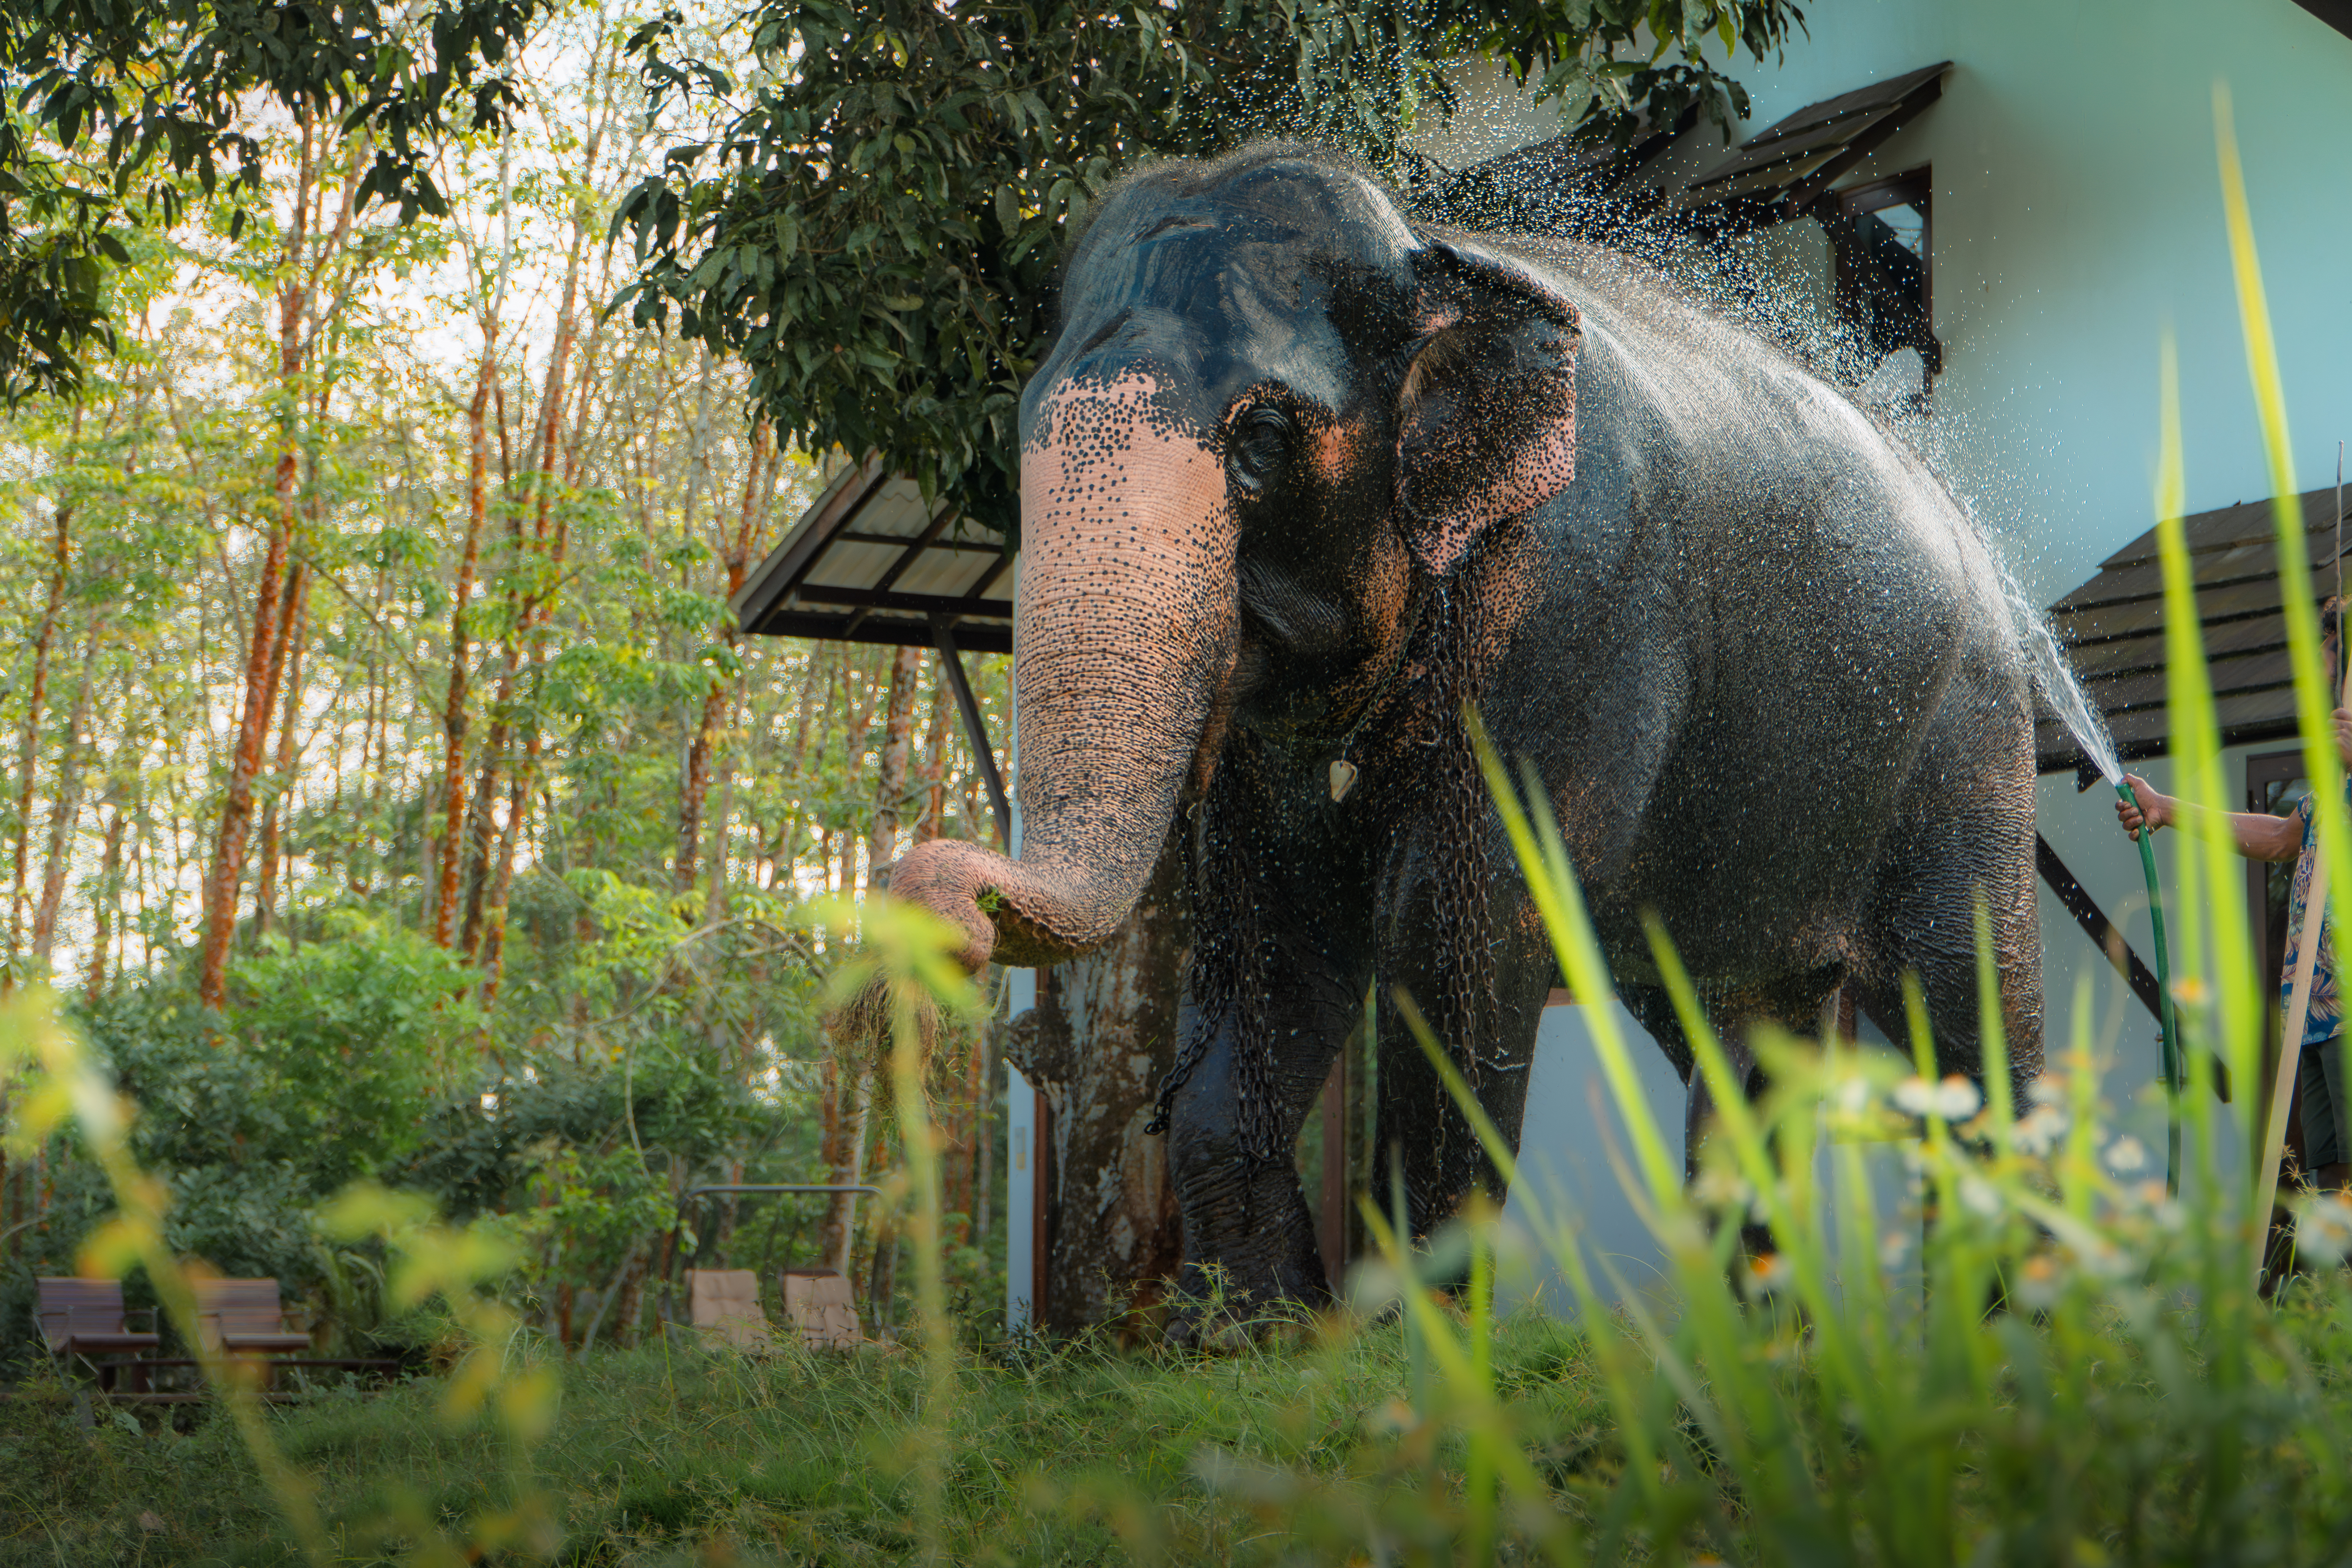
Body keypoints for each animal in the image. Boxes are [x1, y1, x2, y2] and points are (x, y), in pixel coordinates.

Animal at [888, 142, 2044, 1315]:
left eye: (1261, 437)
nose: (936, 897)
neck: (1431, 259)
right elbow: (1276, 940)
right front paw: (1255, 1333)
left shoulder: (1579, 614)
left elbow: (1462, 933)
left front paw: (1416, 1336)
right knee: (1741, 1028)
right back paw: (1769, 1331)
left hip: (1968, 736)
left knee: (1967, 991)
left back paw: (2022, 1311)